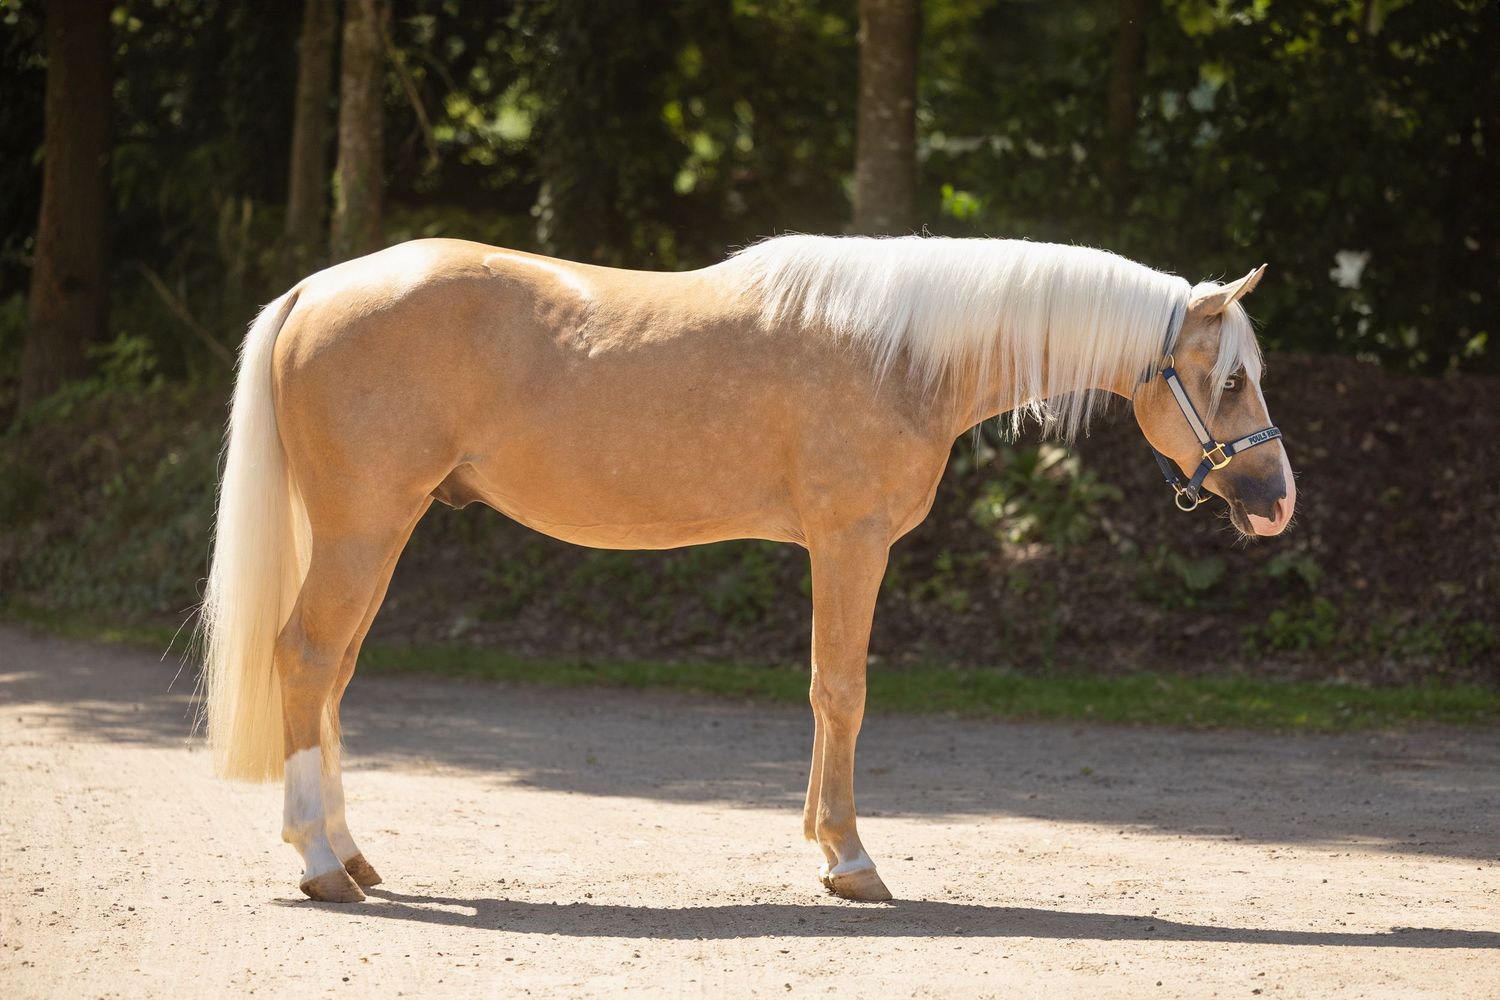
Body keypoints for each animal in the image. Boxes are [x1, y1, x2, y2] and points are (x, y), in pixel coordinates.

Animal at [199, 234, 1296, 903]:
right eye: (1228, 382)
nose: (1278, 500)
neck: (902, 352)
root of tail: (316, 289)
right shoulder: (851, 543)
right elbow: (842, 689)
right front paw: (851, 858)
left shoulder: (837, 550)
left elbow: (821, 691)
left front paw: (825, 846)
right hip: (363, 527)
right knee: (305, 658)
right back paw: (320, 863)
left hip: (376, 532)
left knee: (333, 673)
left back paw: (351, 853)